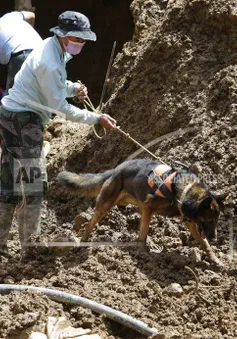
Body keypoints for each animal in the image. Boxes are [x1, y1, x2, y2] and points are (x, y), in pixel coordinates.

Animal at [57, 159, 226, 266]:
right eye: (209, 220)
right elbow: (143, 231)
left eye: (216, 221)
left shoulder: (191, 223)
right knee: (91, 223)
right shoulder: (148, 207)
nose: (215, 238)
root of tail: (116, 170)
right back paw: (83, 240)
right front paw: (142, 254)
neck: (185, 191)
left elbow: (204, 244)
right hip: (104, 205)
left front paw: (215, 260)